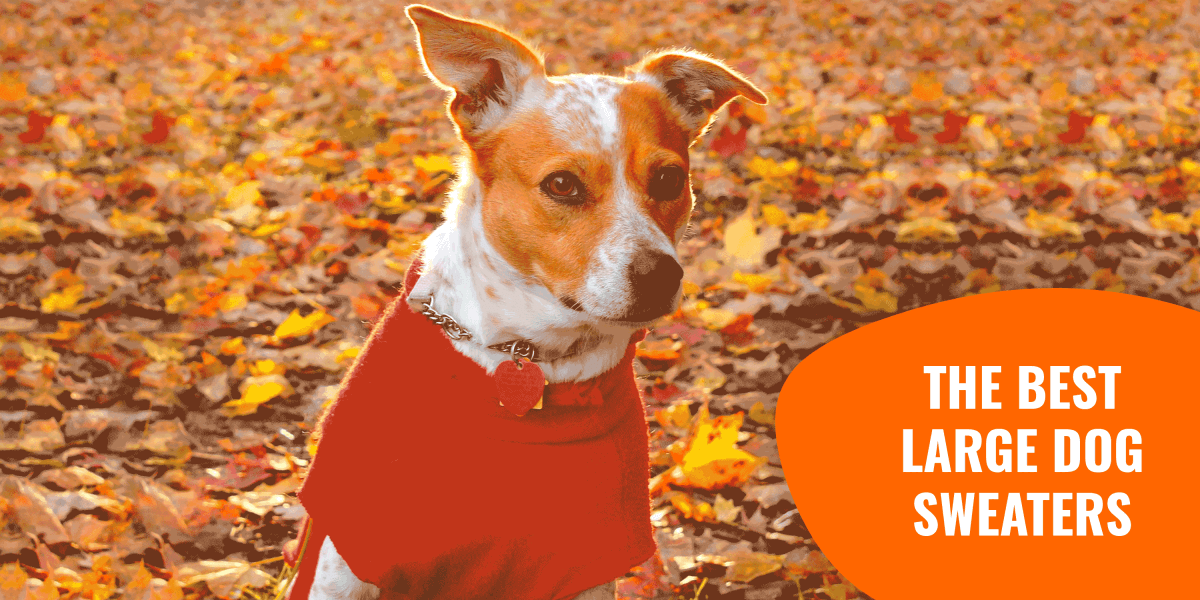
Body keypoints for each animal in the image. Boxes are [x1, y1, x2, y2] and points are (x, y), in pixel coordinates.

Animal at [285, 5, 763, 600]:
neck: (528, 356)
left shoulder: (585, 564)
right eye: (562, 185)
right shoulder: (352, 553)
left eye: (670, 178)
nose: (661, 276)